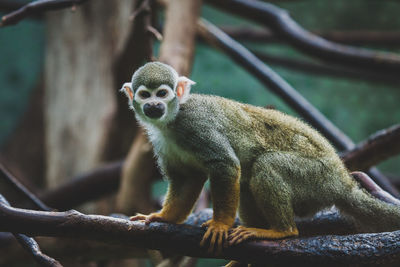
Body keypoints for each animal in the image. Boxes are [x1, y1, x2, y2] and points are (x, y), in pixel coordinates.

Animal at [122, 62, 400, 255]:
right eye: (145, 95)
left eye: (162, 93)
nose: (154, 105)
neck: (172, 120)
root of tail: (342, 181)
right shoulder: (162, 141)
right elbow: (187, 178)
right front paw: (163, 217)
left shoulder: (196, 125)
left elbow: (225, 165)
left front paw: (220, 225)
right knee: (246, 182)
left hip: (316, 176)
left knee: (266, 165)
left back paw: (282, 231)